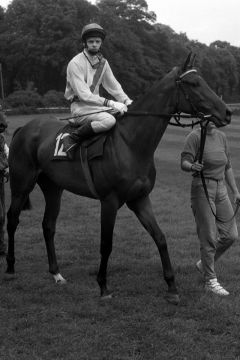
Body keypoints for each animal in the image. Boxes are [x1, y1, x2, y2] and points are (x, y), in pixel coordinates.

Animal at [5, 54, 231, 306]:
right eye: (193, 83)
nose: (227, 112)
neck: (130, 143)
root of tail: (24, 128)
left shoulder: (140, 199)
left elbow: (160, 237)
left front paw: (172, 287)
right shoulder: (109, 201)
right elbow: (106, 244)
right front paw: (103, 286)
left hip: (53, 188)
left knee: (48, 225)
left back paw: (56, 273)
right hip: (21, 185)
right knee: (12, 219)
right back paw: (10, 268)